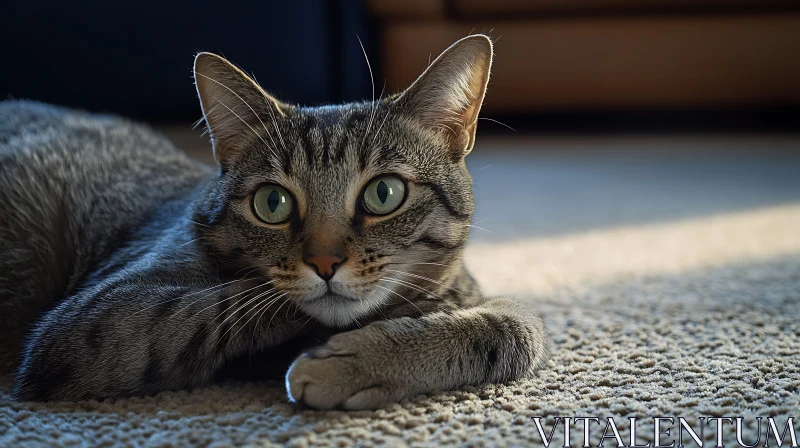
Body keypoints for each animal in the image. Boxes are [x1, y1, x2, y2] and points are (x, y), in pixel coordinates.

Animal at [0, 33, 548, 408]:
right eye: (272, 203)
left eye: (383, 193)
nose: (325, 263)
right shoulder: (95, 319)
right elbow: (242, 302)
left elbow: (520, 326)